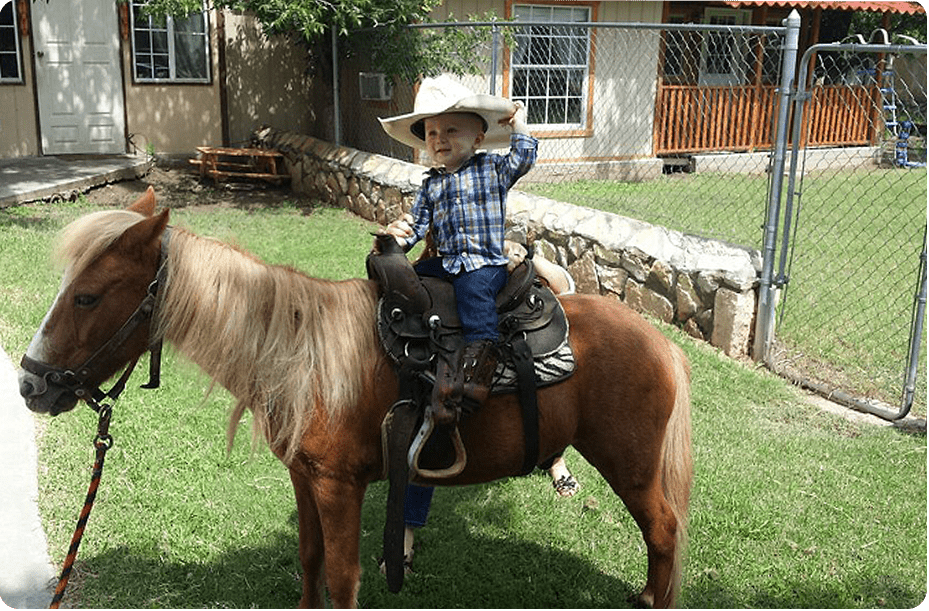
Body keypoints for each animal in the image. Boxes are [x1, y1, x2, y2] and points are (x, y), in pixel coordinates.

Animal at [18, 188, 693, 608]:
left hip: (630, 465)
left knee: (663, 533)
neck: (300, 354)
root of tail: (661, 343)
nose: (30, 383)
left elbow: (343, 578)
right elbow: (311, 560)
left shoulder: (340, 486)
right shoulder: (305, 477)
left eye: (87, 296)